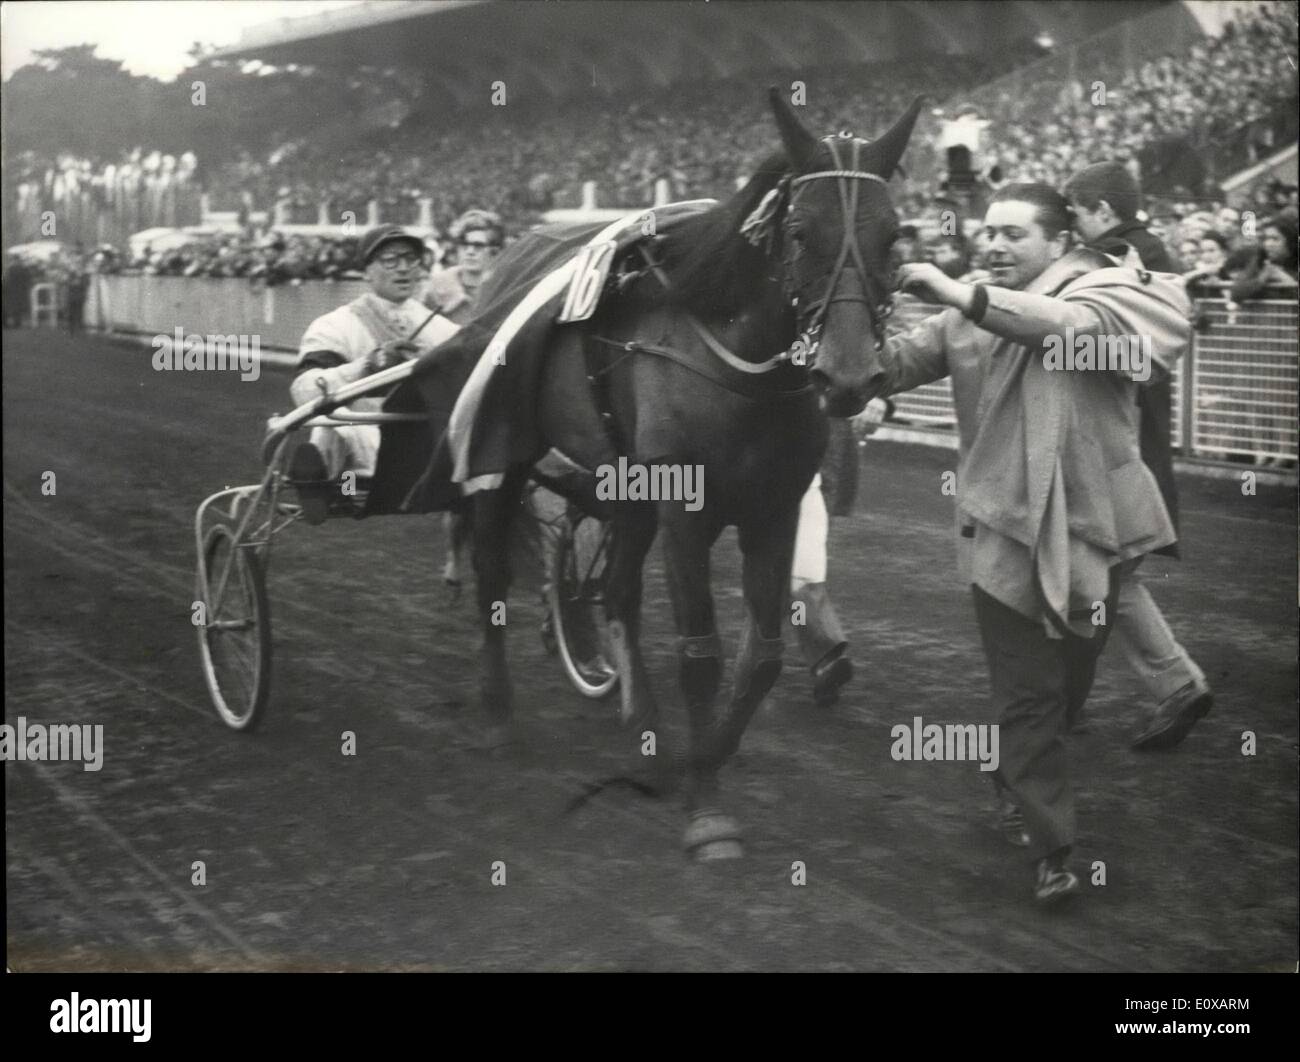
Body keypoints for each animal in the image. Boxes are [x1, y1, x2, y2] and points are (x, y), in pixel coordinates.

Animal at [467, 89, 915, 852]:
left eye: (893, 236)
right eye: (800, 233)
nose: (850, 376)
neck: (741, 365)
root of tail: (511, 255)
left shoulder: (774, 507)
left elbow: (762, 657)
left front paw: (704, 757)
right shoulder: (684, 510)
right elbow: (701, 654)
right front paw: (707, 810)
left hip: (627, 491)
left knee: (617, 593)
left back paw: (643, 727)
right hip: (511, 448)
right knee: (495, 571)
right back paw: (496, 716)